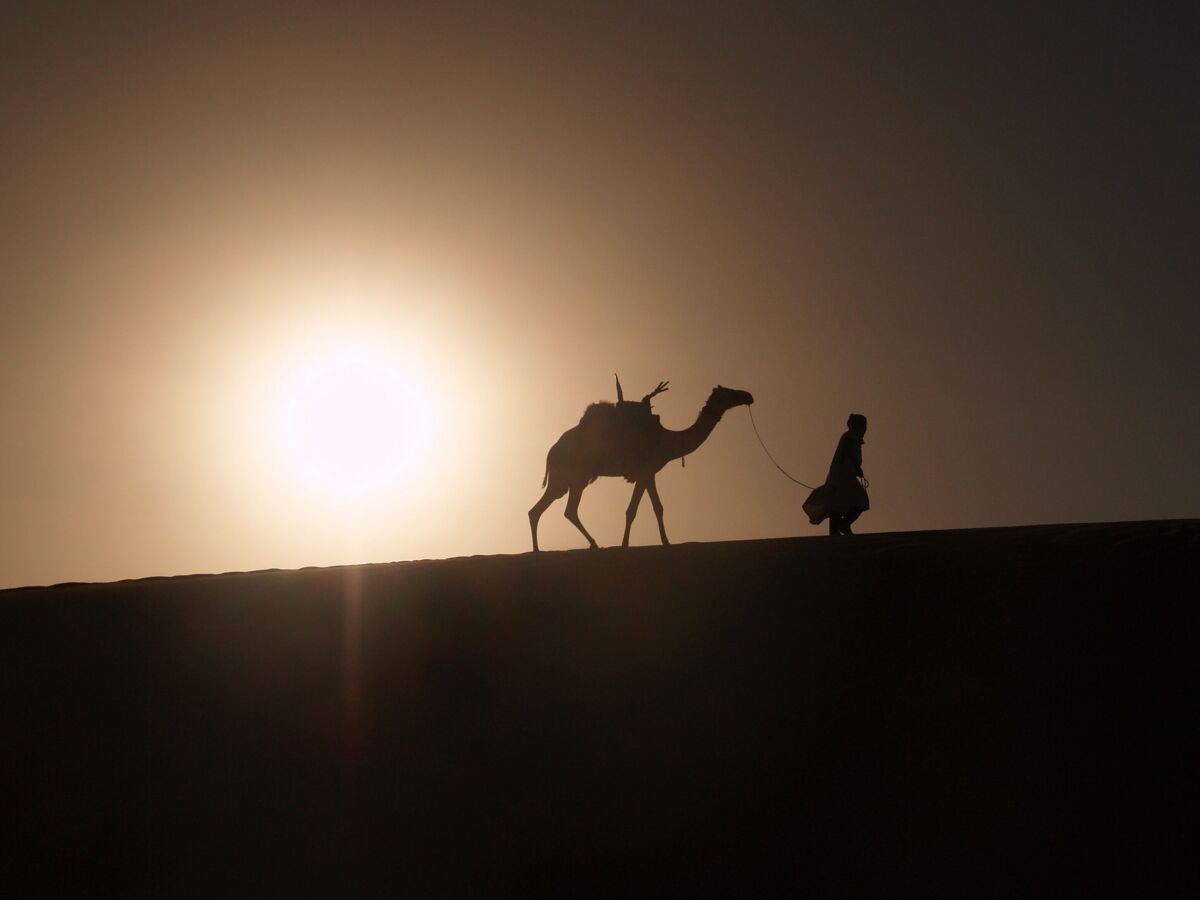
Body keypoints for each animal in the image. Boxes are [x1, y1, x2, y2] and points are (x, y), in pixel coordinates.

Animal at [528, 378, 755, 551]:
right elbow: (636, 510)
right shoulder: (645, 471)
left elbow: (654, 508)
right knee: (560, 509)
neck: (667, 440)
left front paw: (662, 542)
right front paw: (630, 544)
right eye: (728, 392)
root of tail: (551, 451)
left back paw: (544, 549)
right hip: (574, 476)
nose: (748, 395)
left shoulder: (648, 473)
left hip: (568, 480)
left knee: (547, 510)